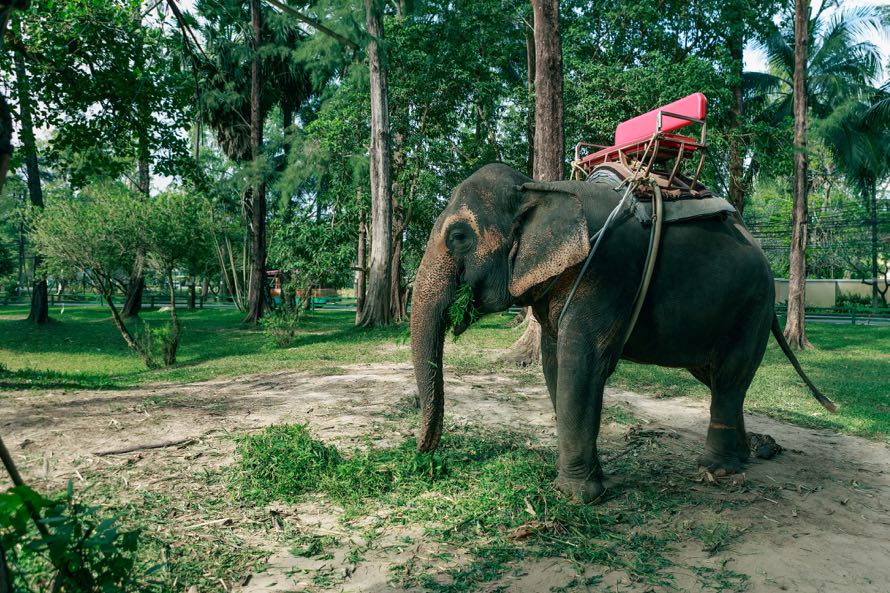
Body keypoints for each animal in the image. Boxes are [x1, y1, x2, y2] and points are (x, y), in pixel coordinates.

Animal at [410, 160, 832, 502]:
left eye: (459, 236)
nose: (423, 453)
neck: (540, 187)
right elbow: (554, 363)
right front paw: (591, 482)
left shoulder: (605, 273)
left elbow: (582, 363)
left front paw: (577, 497)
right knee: (719, 378)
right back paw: (746, 455)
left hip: (751, 306)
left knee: (730, 377)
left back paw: (717, 470)